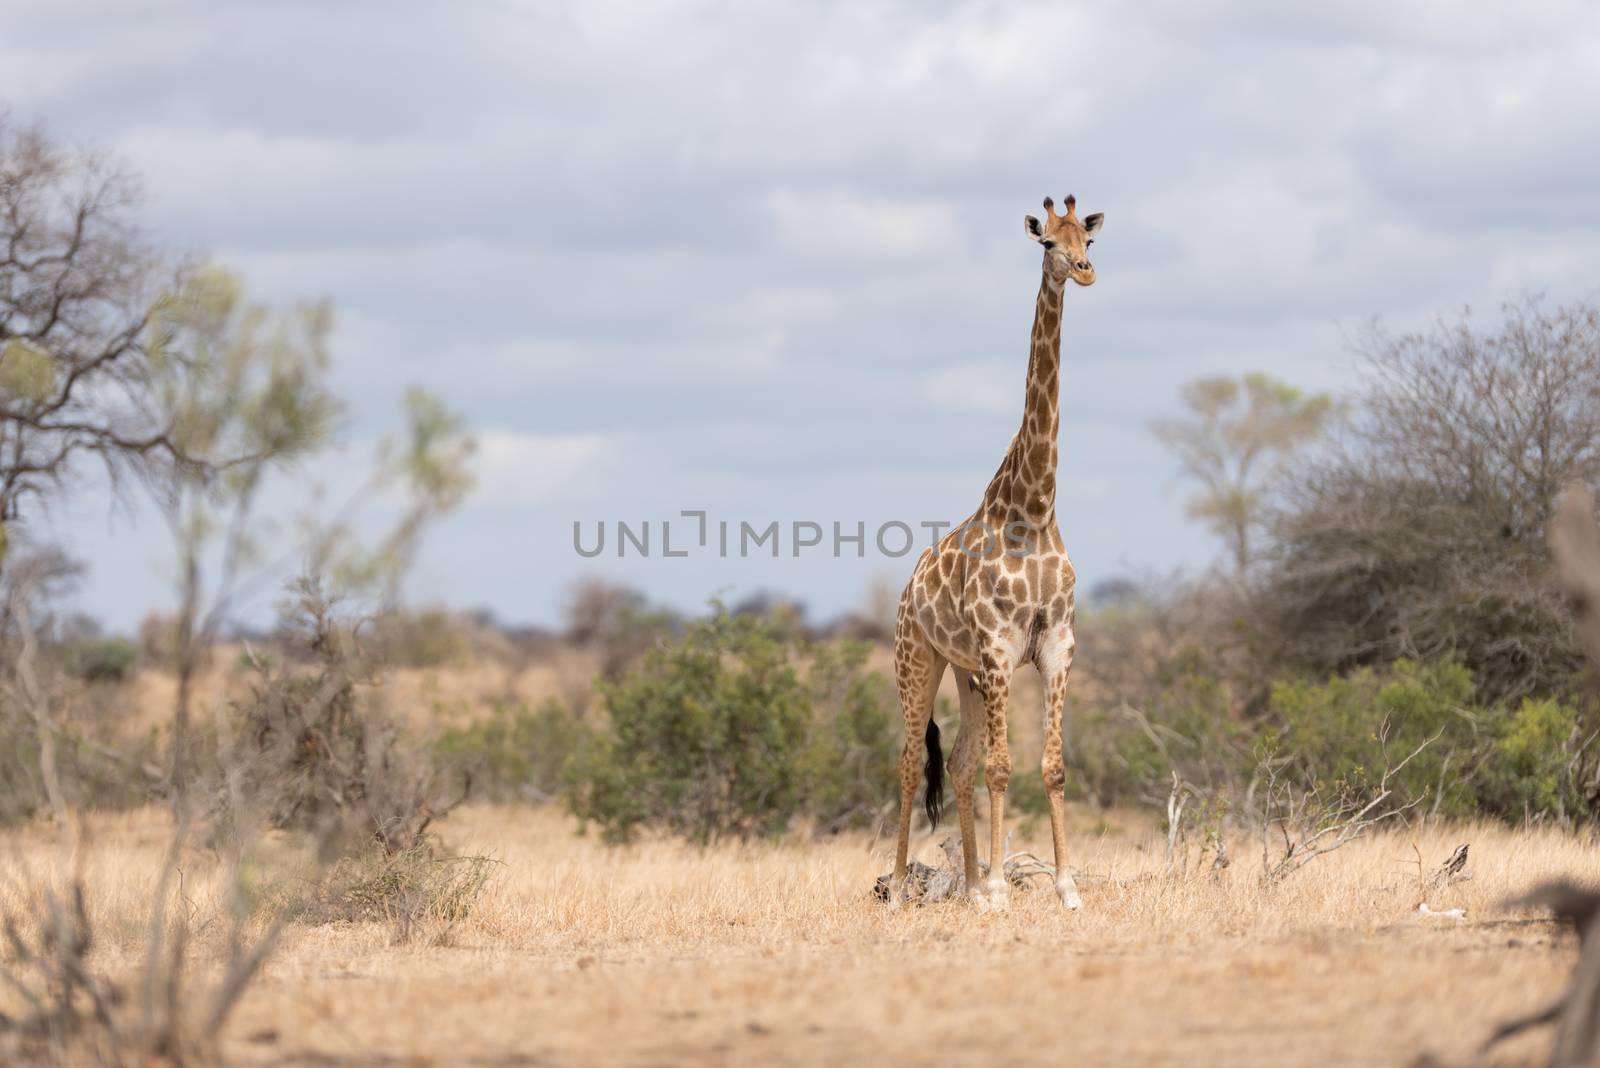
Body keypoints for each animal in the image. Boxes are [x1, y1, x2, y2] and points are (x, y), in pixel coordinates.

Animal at [889, 191, 1100, 908]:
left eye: (1088, 238)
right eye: (1047, 243)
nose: (1085, 272)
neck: (1033, 509)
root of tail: (908, 588)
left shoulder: (1056, 645)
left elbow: (1053, 766)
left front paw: (1063, 887)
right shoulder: (1002, 648)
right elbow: (1004, 768)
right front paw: (1007, 888)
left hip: (968, 673)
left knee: (956, 762)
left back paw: (972, 883)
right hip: (919, 660)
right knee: (910, 763)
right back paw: (902, 883)